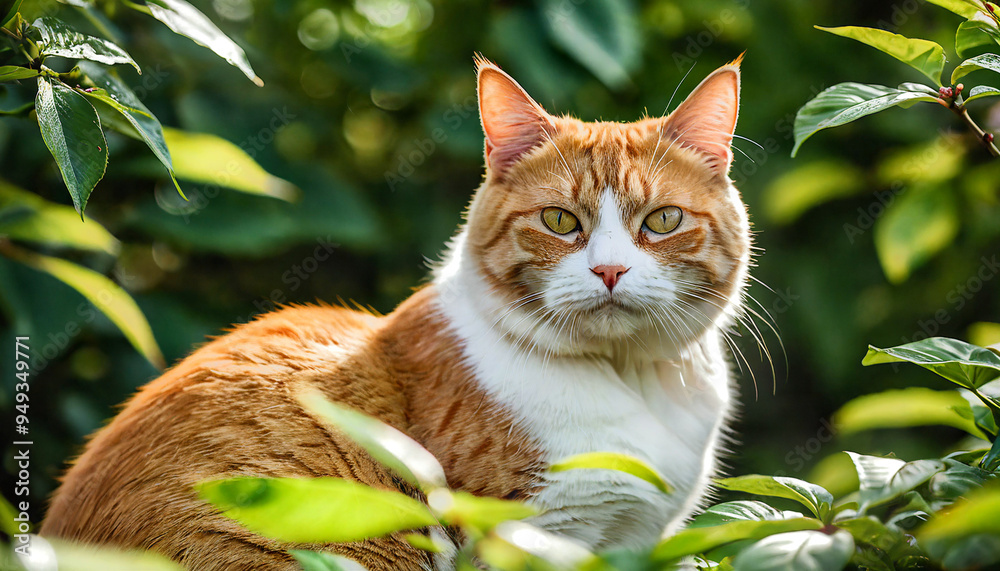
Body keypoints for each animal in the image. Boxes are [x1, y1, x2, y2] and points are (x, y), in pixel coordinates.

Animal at [41, 55, 752, 568]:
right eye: (559, 221)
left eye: (662, 221)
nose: (609, 270)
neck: (628, 379)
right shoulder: (527, 535)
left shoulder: (635, 540)